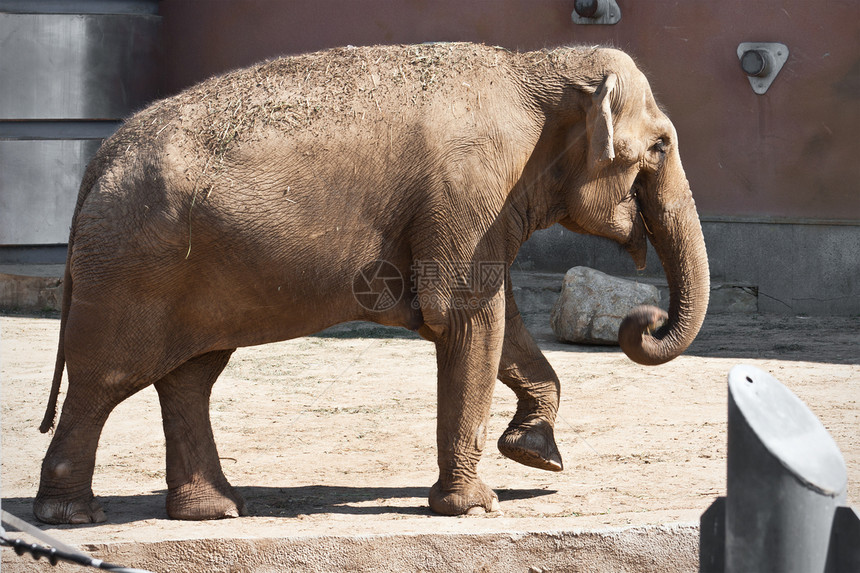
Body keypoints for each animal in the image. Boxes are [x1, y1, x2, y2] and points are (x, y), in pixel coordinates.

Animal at [33, 41, 708, 524]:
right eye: (661, 146)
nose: (643, 321)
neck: (535, 68)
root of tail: (97, 162)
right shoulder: (467, 195)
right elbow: (467, 318)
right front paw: (477, 505)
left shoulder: (478, 212)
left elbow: (497, 321)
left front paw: (535, 452)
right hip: (131, 269)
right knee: (105, 382)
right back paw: (73, 516)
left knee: (190, 377)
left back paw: (214, 511)